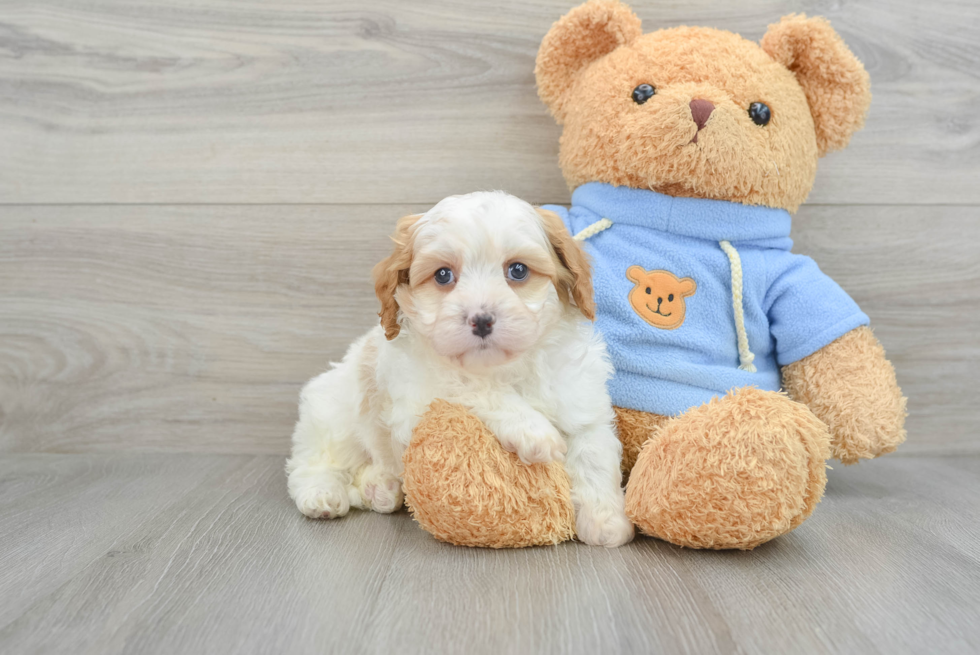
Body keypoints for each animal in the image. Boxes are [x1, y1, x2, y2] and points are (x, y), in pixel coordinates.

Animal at [288, 191, 632, 548]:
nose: (481, 320)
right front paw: (533, 431)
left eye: (518, 270)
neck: (506, 366)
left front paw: (605, 521)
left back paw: (380, 488)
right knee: (312, 462)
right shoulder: (417, 394)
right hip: (333, 416)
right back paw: (322, 495)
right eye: (443, 275)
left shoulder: (581, 400)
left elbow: (594, 455)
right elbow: (471, 386)